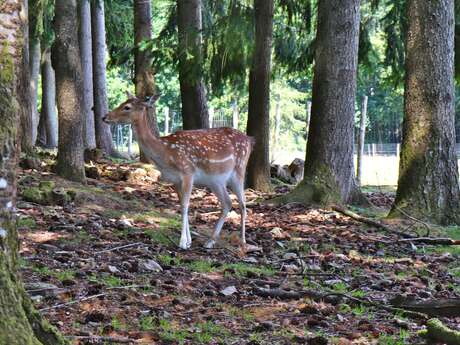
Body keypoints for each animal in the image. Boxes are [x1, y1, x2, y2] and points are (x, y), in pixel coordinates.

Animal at [103, 95, 255, 249]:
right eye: (123, 103)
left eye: (127, 107)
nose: (105, 117)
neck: (165, 154)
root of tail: (250, 140)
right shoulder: (175, 179)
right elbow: (181, 204)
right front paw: (188, 241)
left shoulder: (188, 172)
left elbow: (185, 205)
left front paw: (182, 242)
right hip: (216, 181)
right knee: (227, 203)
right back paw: (210, 241)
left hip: (239, 170)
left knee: (242, 204)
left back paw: (242, 241)